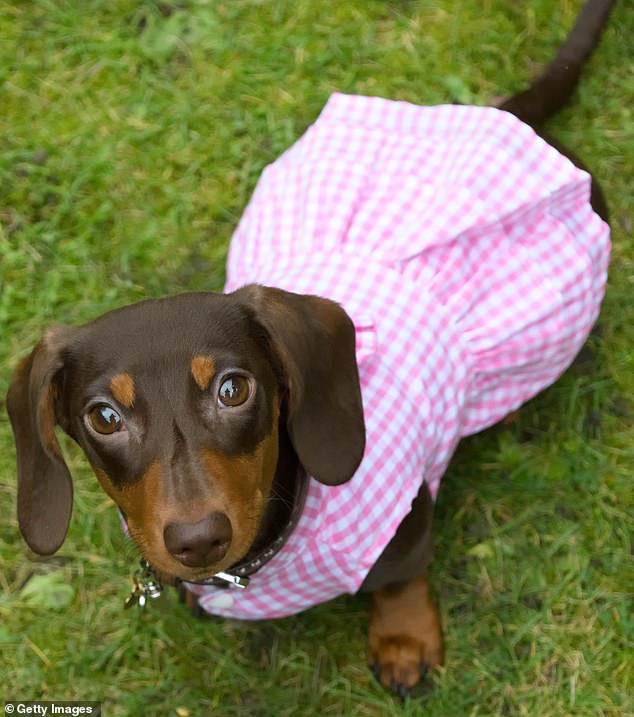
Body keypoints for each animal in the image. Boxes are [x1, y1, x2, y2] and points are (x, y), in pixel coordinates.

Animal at [6, 0, 612, 692]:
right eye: (103, 418)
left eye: (234, 388)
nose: (197, 539)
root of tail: (510, 115)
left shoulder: (404, 515)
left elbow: (401, 576)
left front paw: (404, 638)